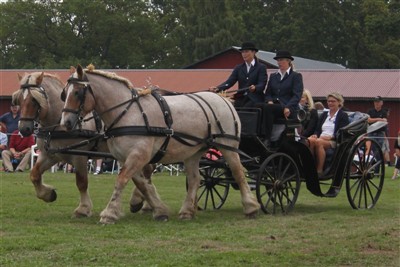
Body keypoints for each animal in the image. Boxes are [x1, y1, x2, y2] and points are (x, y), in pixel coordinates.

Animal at [13, 72, 155, 219]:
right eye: (19, 100)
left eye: (34, 100)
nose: (24, 129)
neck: (59, 125)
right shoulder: (50, 155)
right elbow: (34, 175)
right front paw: (48, 194)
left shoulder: (79, 157)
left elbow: (81, 183)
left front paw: (83, 209)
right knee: (147, 171)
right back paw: (145, 203)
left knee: (146, 171)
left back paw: (139, 201)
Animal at [59, 65, 260, 226]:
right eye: (64, 94)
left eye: (77, 93)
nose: (66, 123)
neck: (128, 112)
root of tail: (223, 99)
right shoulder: (126, 158)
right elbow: (142, 184)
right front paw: (157, 210)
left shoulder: (139, 155)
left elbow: (122, 180)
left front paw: (109, 214)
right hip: (193, 152)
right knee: (195, 179)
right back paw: (187, 211)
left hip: (228, 146)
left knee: (238, 173)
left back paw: (251, 207)